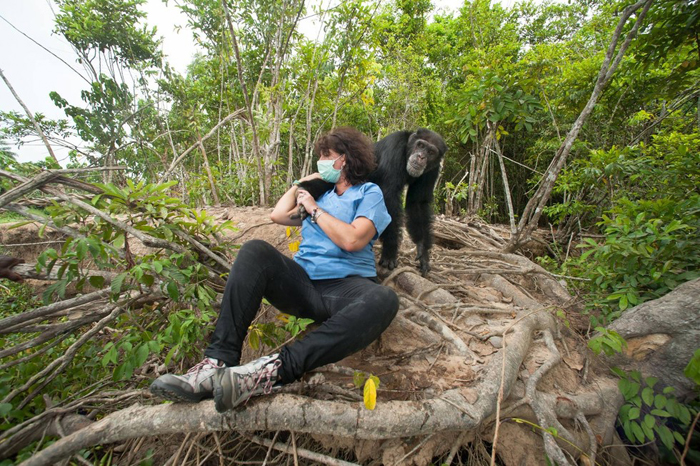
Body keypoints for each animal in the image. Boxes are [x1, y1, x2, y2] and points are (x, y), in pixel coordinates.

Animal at [370, 127, 446, 274]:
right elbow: (388, 197)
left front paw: (423, 251)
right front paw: (390, 251)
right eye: (420, 145)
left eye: (431, 152)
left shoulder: (432, 170)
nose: (421, 156)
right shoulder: (394, 148)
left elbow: (417, 203)